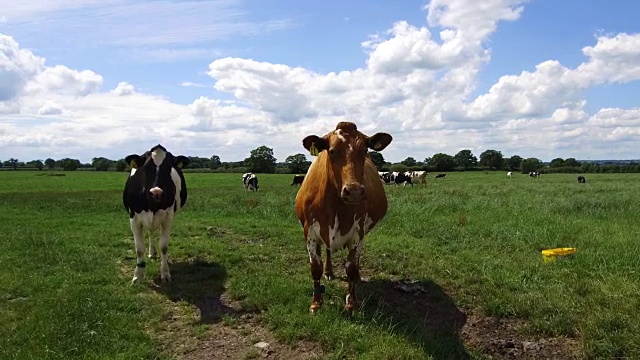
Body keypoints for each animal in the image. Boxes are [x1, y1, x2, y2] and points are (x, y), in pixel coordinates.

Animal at [122, 144, 188, 284]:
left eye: (168, 167)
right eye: (145, 168)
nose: (156, 192)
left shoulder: (168, 217)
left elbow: (163, 246)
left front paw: (165, 273)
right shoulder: (133, 218)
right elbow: (139, 249)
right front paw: (138, 275)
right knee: (150, 232)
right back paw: (151, 253)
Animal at [296, 121, 396, 312]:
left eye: (364, 150)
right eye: (332, 151)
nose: (354, 191)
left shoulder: (358, 231)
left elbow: (351, 268)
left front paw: (351, 302)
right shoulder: (309, 230)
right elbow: (315, 267)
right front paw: (316, 302)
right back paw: (328, 272)